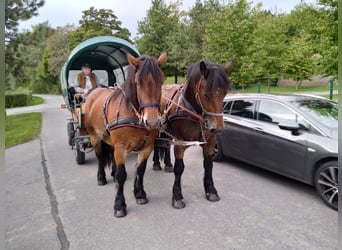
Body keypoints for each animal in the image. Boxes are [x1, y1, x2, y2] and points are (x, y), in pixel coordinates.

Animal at [84, 52, 167, 217]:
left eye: (161, 81)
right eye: (138, 83)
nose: (152, 121)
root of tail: (94, 92)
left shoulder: (147, 147)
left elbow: (140, 170)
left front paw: (139, 193)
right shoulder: (121, 148)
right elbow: (122, 175)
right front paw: (119, 205)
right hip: (95, 137)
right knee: (99, 157)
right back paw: (101, 177)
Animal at [160, 59, 232, 209]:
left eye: (225, 93)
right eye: (206, 94)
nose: (217, 128)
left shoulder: (210, 141)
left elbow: (208, 165)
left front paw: (211, 190)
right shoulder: (180, 142)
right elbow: (179, 168)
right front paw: (177, 196)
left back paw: (167, 164)